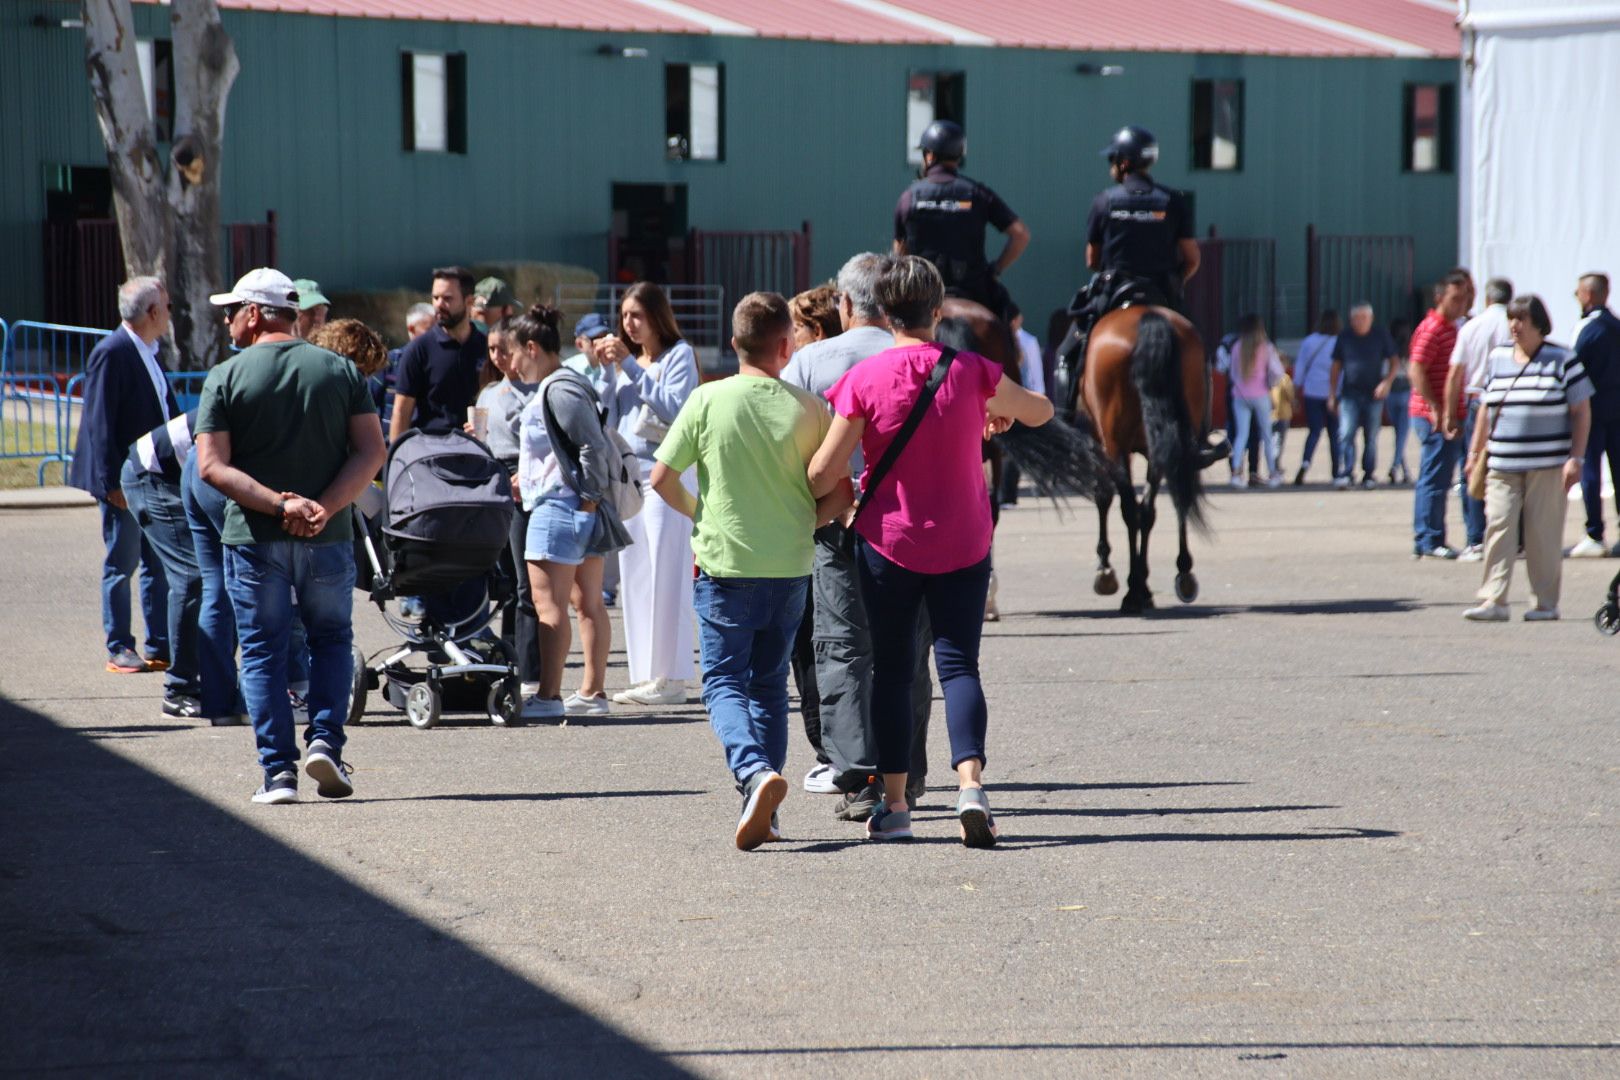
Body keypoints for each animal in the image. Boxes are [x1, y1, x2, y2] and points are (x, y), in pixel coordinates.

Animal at [1082, 304, 1211, 612]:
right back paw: (1180, 574)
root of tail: (1146, 315)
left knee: (1130, 508)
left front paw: (1106, 567)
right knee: (1169, 498)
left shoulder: (1102, 441)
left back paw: (1133, 591)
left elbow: (1104, 496)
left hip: (1115, 441)